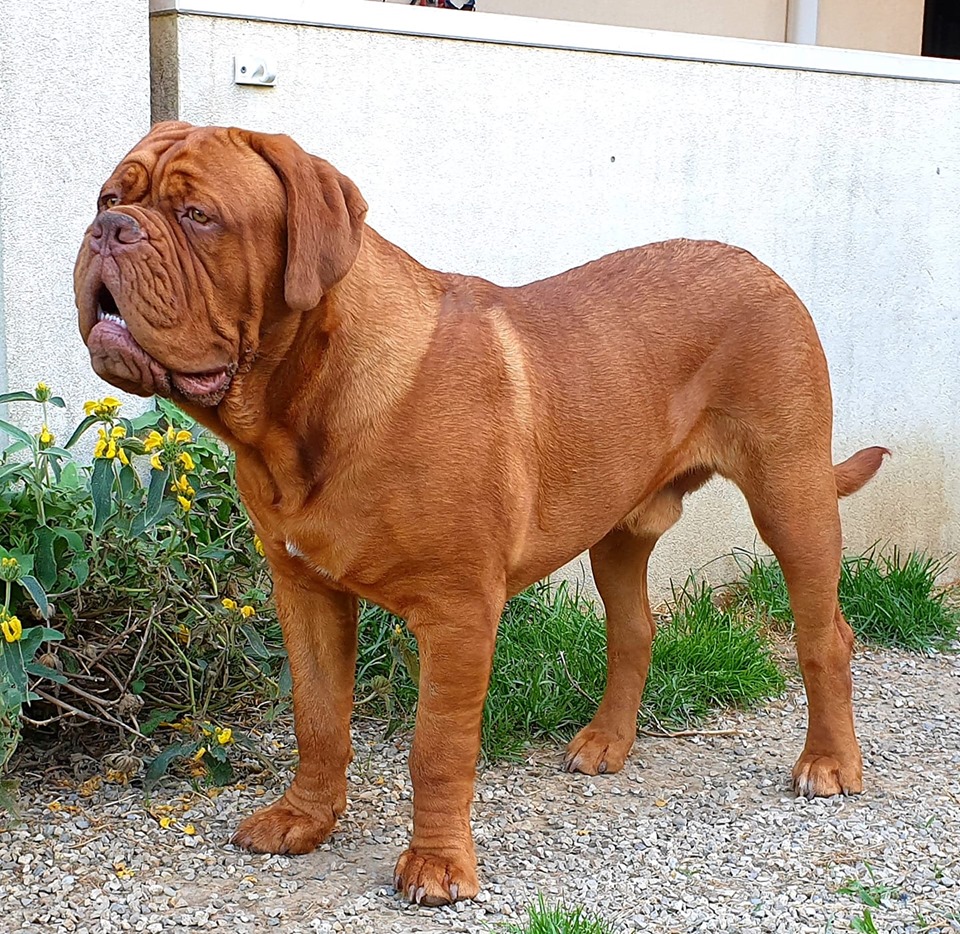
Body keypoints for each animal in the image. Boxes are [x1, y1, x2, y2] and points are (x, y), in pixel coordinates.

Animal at [75, 122, 884, 908]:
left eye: (198, 216)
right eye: (109, 196)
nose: (109, 228)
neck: (305, 404)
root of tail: (761, 267)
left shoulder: (458, 611)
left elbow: (436, 746)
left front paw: (437, 866)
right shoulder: (305, 591)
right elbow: (318, 717)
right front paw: (304, 819)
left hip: (792, 498)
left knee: (825, 637)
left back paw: (829, 762)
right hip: (617, 533)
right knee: (635, 631)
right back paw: (607, 741)